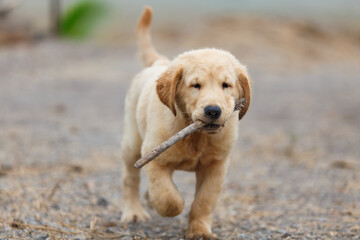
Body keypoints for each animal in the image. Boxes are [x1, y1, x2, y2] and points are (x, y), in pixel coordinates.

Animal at [120, 6, 250, 239]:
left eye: (226, 85)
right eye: (195, 85)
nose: (213, 111)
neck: (196, 136)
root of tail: (161, 63)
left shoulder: (216, 165)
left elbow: (204, 201)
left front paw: (199, 230)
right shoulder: (155, 159)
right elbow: (168, 198)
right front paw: (167, 203)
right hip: (133, 143)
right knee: (130, 178)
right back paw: (134, 212)